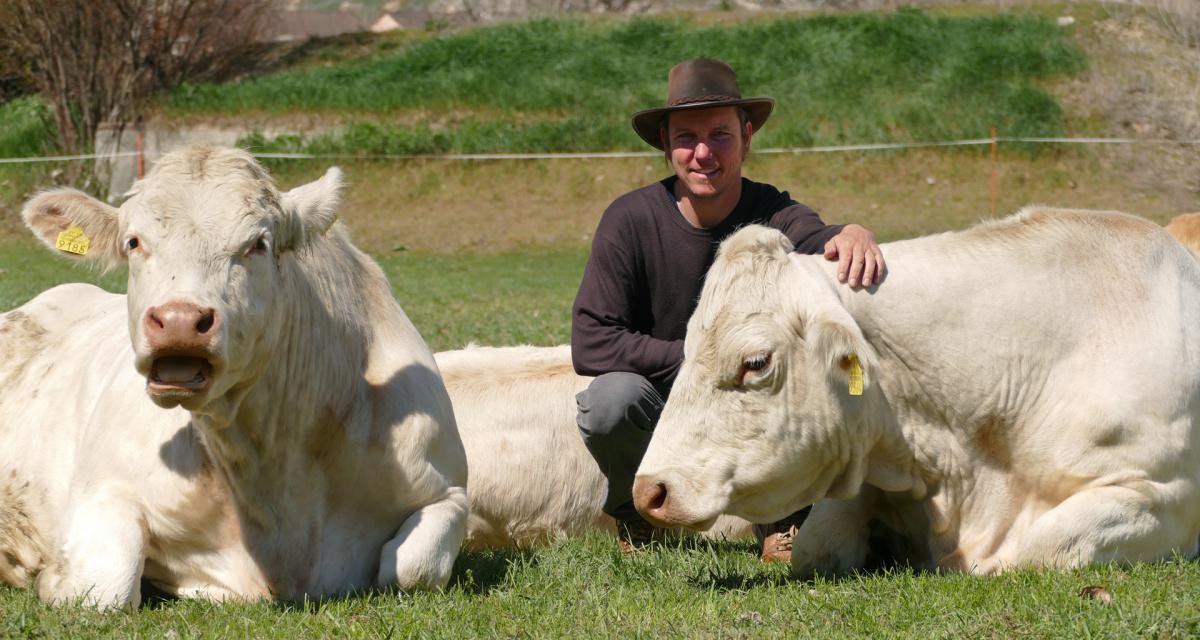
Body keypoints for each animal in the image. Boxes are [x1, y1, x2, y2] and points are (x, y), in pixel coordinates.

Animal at [0, 147, 468, 605]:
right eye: (133, 242)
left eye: (257, 244)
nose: (179, 320)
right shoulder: (105, 489)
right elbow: (104, 589)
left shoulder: (449, 491)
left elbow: (415, 567)